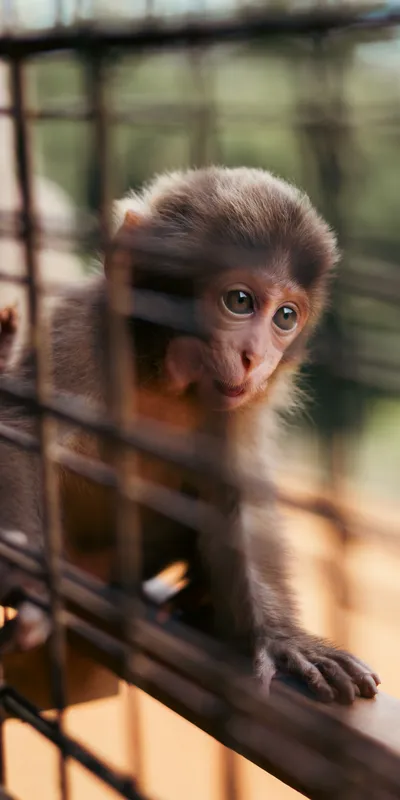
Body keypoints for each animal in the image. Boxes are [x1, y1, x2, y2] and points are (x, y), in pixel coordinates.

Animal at [0, 166, 380, 705]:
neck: (160, 378)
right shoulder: (79, 333)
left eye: (286, 316)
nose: (254, 358)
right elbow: (19, 434)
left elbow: (235, 499)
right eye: (239, 301)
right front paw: (31, 584)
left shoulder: (239, 409)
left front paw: (285, 640)